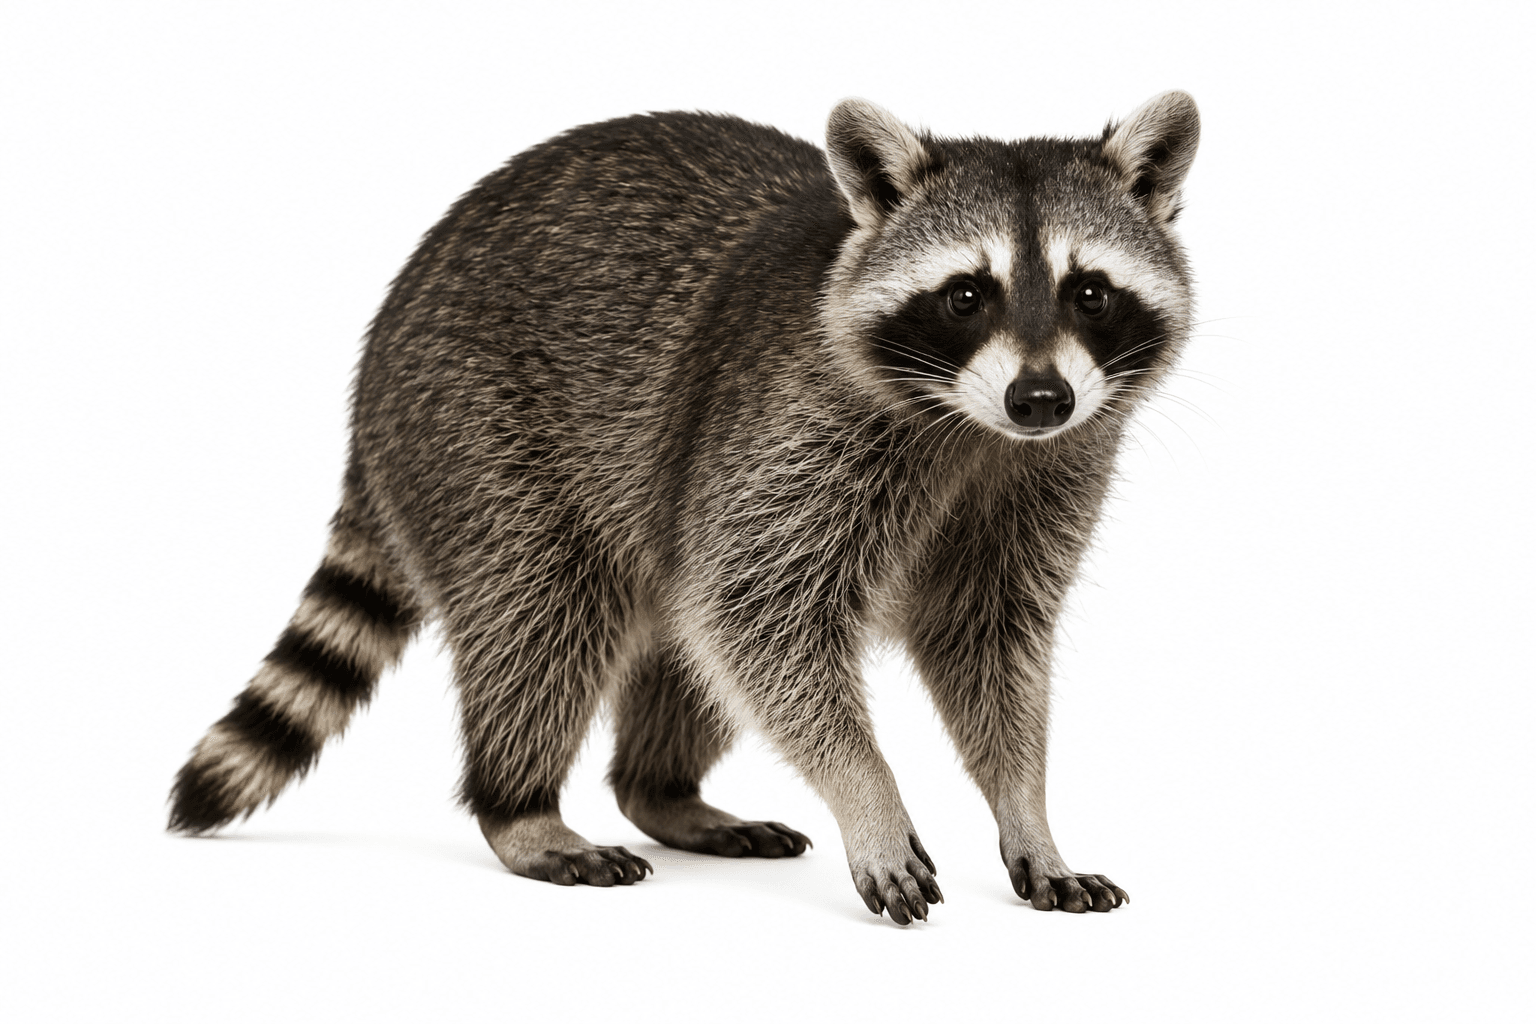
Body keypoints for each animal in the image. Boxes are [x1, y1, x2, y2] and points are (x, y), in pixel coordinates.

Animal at [169, 92, 1200, 924]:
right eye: (965, 296)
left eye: (1090, 292)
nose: (1040, 399)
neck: (972, 428)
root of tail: (381, 347)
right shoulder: (787, 425)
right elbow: (760, 617)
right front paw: (868, 792)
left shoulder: (1049, 472)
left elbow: (987, 640)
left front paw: (1028, 810)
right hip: (474, 424)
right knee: (540, 612)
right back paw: (520, 807)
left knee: (672, 635)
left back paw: (661, 791)